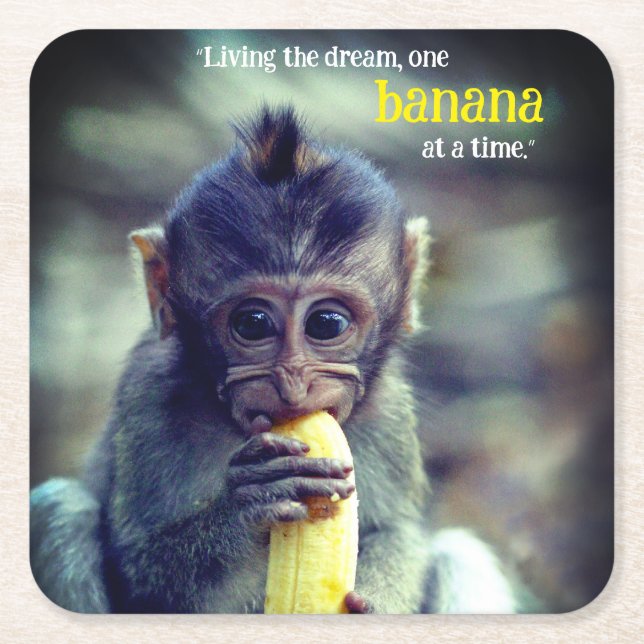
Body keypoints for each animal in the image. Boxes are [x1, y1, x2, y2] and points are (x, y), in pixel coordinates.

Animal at [30, 107, 518, 614]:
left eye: (326, 323)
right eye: (253, 323)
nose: (292, 384)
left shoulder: (389, 412)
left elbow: (398, 534)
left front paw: (379, 603)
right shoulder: (149, 397)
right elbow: (142, 570)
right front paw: (247, 505)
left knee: (460, 554)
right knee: (61, 511)